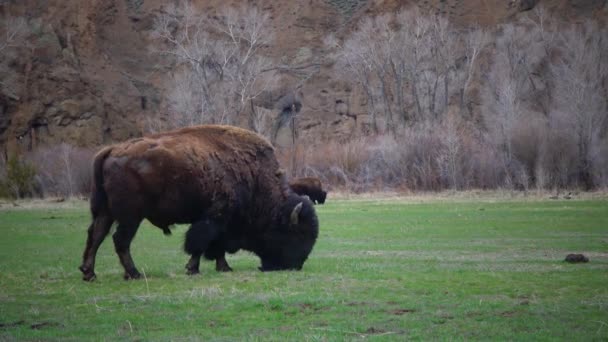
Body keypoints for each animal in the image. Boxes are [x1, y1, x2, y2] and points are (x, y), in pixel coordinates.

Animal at [78, 125, 320, 280]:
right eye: (296, 234)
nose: (296, 265)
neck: (254, 178)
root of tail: (112, 150)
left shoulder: (222, 222)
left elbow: (216, 246)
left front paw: (224, 268)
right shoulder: (214, 218)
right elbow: (200, 243)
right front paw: (193, 269)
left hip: (105, 212)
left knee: (96, 235)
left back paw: (89, 273)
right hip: (131, 217)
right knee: (120, 240)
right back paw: (133, 273)